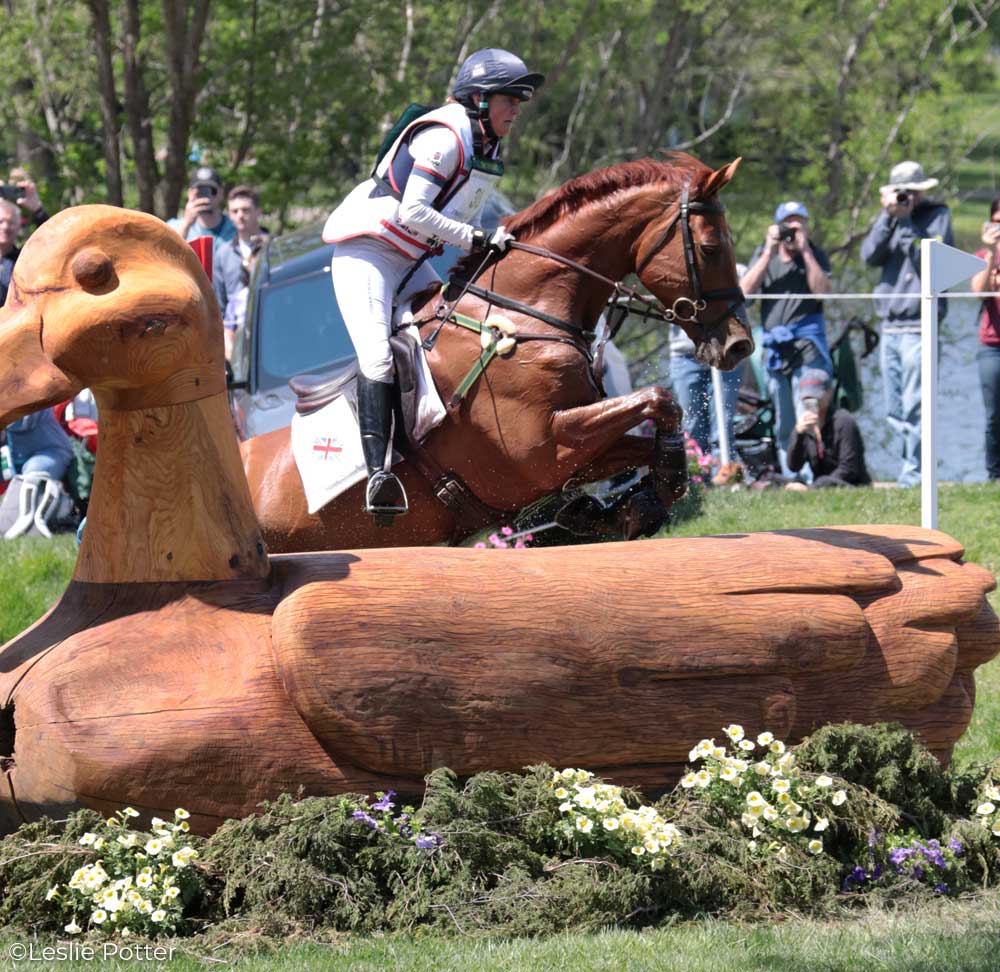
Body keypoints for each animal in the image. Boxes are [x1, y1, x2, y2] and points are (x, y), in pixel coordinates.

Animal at [242, 152, 752, 552]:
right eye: (710, 247)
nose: (739, 343)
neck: (522, 314)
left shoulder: (572, 445)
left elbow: (641, 437)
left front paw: (624, 505)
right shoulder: (541, 450)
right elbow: (659, 399)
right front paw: (659, 483)